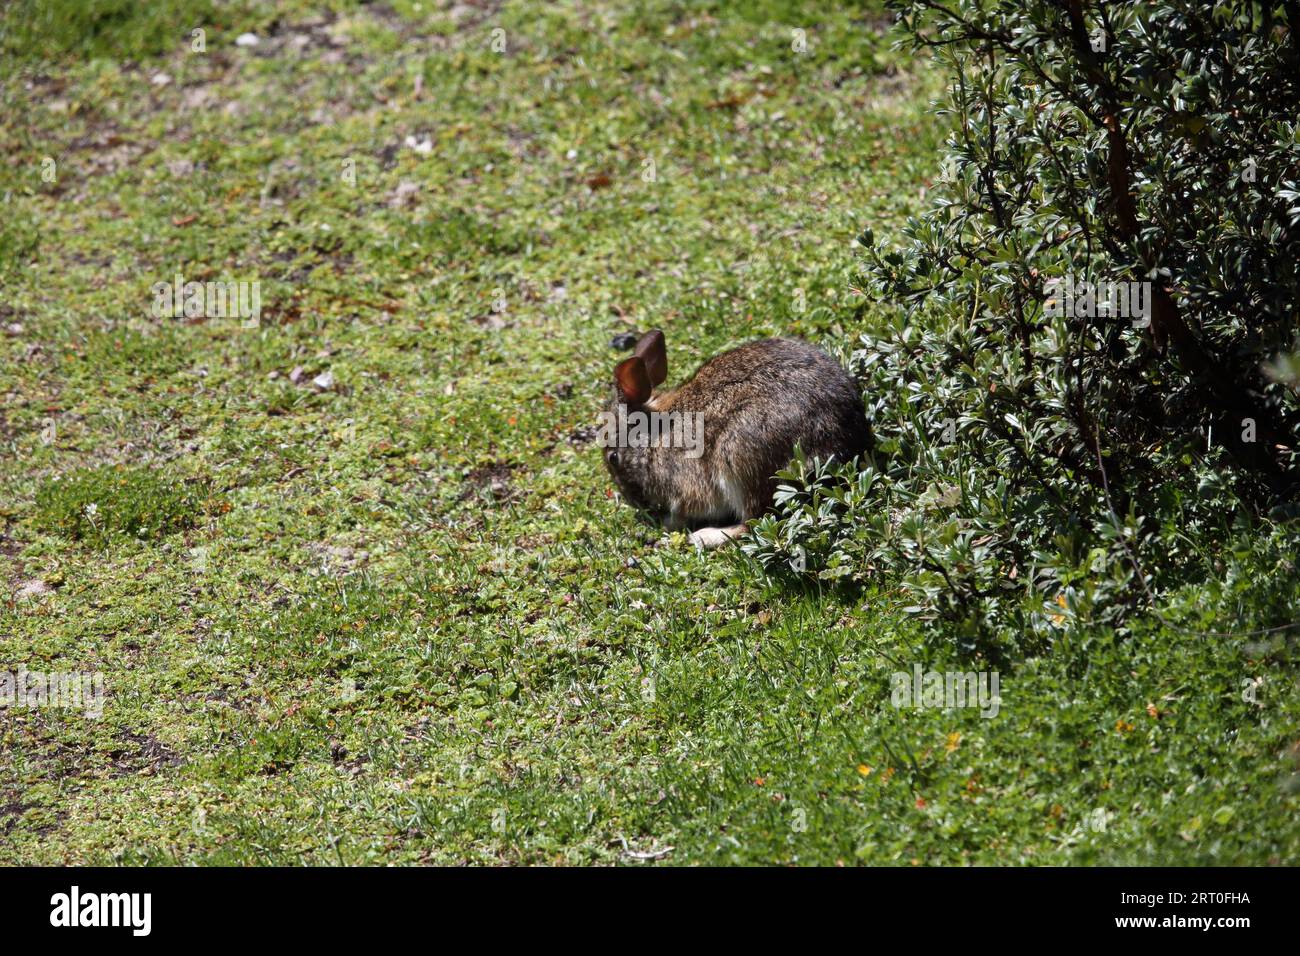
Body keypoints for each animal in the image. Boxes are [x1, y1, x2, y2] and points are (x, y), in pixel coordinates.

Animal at [600, 329, 871, 548]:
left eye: (613, 458)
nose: (633, 502)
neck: (654, 435)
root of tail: (841, 448)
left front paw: (667, 524)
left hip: (741, 461)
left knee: (755, 522)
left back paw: (705, 536)